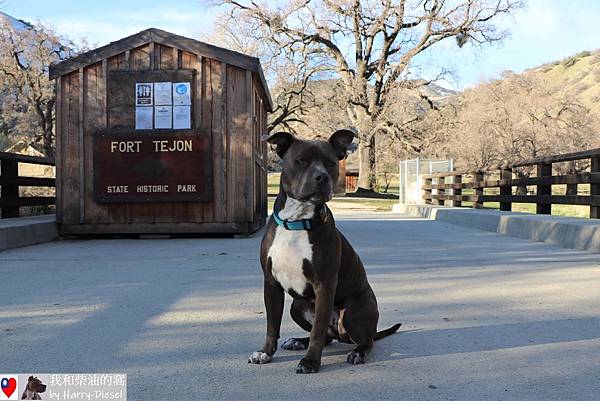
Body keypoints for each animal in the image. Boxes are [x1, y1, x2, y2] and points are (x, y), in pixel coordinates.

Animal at [248, 130, 404, 372]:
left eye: (330, 163)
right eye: (300, 161)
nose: (321, 177)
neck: (297, 221)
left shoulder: (324, 284)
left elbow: (318, 330)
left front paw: (311, 361)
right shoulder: (271, 283)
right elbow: (272, 324)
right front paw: (265, 353)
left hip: (352, 311)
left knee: (362, 340)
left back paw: (357, 352)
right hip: (297, 306)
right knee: (327, 336)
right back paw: (297, 341)